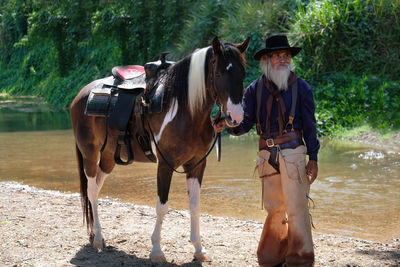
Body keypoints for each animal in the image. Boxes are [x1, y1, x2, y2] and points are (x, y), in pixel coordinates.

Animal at [70, 37, 248, 264]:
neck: (185, 108)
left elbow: (195, 205)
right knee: (92, 190)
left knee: (97, 188)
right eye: (218, 73)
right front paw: (156, 251)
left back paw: (94, 234)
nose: (236, 116)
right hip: (90, 154)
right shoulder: (165, 164)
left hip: (108, 157)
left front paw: (199, 249)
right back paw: (99, 238)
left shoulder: (197, 165)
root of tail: (81, 94)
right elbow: (162, 206)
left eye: (243, 72)